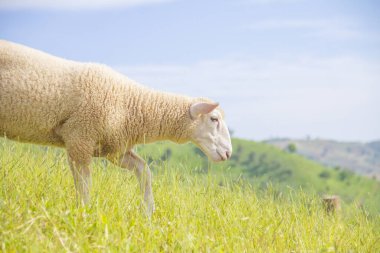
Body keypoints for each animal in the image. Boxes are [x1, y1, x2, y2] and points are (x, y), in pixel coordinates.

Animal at [0, 40, 233, 214]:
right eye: (214, 119)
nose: (229, 153)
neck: (131, 105)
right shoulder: (80, 139)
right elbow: (84, 185)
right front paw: (84, 213)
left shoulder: (114, 150)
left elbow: (144, 171)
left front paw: (148, 212)